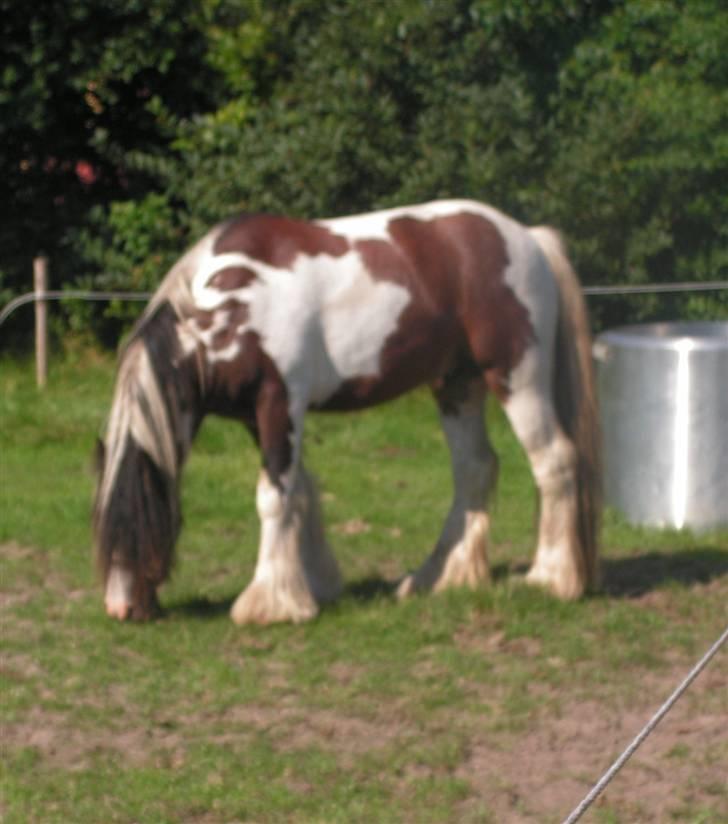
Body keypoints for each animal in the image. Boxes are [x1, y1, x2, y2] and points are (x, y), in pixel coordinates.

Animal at [92, 200, 604, 624]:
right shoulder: (258, 419)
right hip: (457, 385)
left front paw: (267, 604)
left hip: (517, 376)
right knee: (475, 469)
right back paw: (440, 577)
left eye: (138, 521)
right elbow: (299, 492)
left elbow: (273, 497)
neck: (235, 303)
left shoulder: (280, 403)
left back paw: (551, 578)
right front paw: (312, 587)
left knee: (554, 460)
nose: (121, 608)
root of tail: (527, 237)